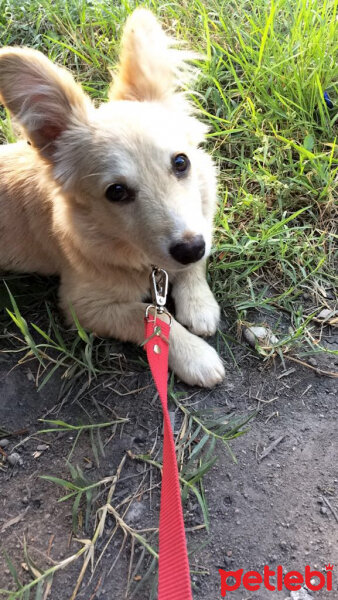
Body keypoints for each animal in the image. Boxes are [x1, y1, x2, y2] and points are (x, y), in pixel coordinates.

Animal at [0, 9, 226, 386]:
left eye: (181, 162)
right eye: (116, 192)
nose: (189, 248)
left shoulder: (198, 226)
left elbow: (196, 263)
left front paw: (198, 302)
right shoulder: (83, 305)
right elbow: (149, 316)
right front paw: (195, 355)